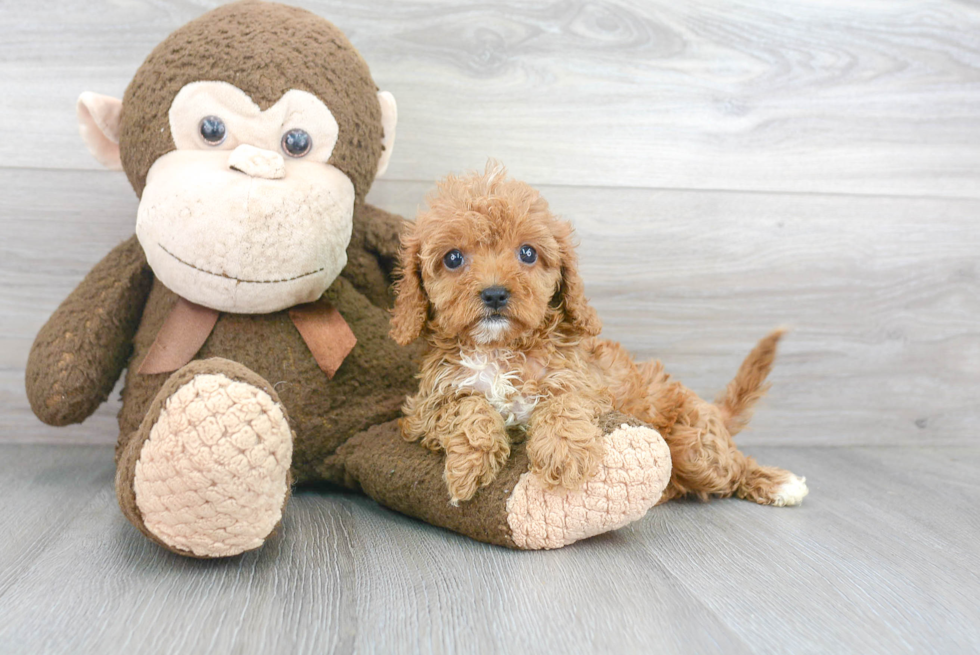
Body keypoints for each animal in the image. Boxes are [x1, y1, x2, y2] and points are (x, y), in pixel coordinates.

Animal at [390, 163, 812, 508]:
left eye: (527, 253)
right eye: (453, 258)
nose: (495, 294)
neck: (500, 349)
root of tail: (709, 409)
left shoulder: (589, 386)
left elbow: (564, 402)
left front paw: (565, 454)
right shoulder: (423, 408)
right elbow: (466, 407)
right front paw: (469, 465)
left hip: (695, 448)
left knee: (733, 466)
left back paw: (779, 483)